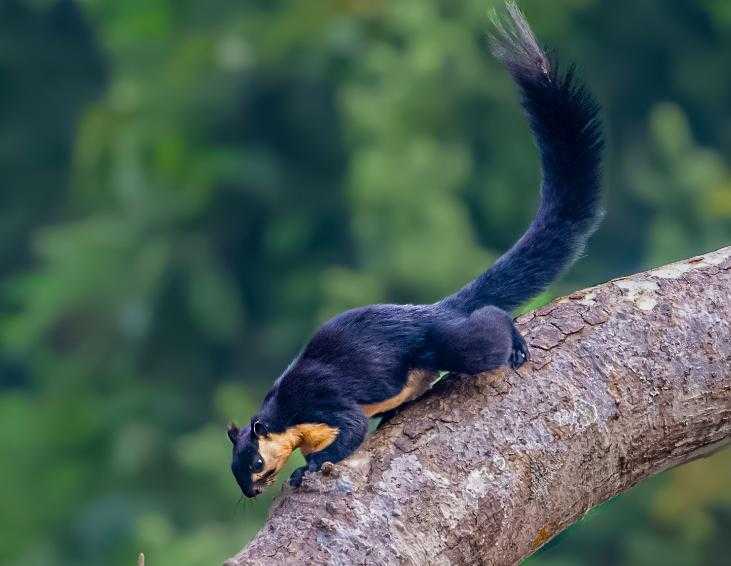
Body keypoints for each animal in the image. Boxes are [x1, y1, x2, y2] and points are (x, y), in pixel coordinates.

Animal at [227, 3, 600, 502]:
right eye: (234, 467)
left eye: (253, 460)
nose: (249, 492)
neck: (283, 413)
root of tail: (432, 311)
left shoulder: (324, 403)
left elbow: (349, 431)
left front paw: (310, 468)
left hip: (443, 343)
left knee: (486, 328)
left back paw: (515, 341)